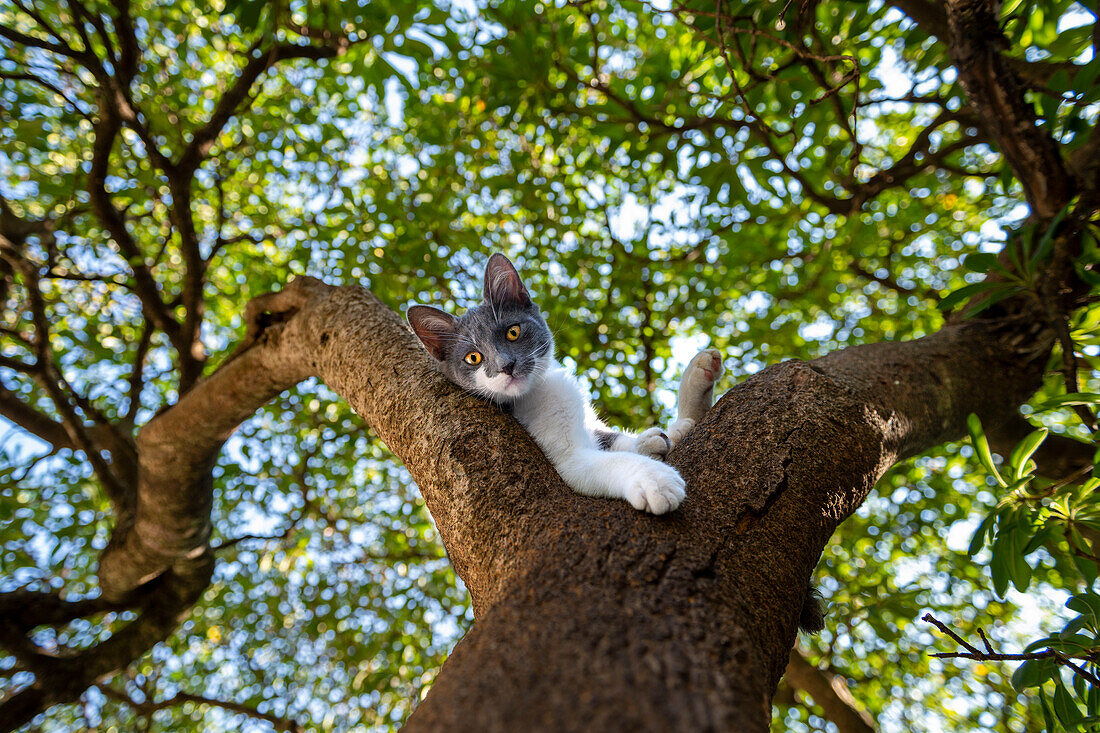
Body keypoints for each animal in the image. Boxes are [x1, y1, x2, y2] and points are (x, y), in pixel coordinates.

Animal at [404, 253, 721, 512]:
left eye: (512, 332)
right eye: (473, 357)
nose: (506, 365)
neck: (541, 387)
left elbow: (609, 436)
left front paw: (653, 438)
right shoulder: (566, 460)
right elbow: (599, 461)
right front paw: (654, 478)